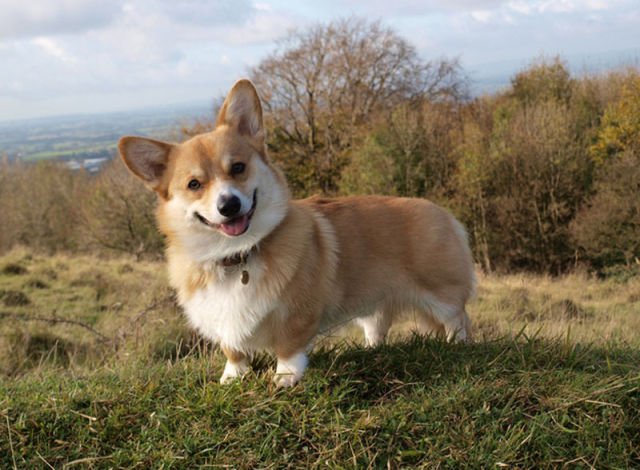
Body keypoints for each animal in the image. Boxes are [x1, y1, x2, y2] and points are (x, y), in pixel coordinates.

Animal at [119, 79, 476, 386]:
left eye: (238, 167)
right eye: (194, 184)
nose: (229, 205)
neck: (235, 256)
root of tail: (443, 213)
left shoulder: (297, 313)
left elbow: (289, 346)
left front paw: (285, 377)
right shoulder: (223, 321)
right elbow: (233, 350)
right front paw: (232, 377)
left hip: (442, 293)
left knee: (458, 320)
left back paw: (457, 345)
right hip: (373, 304)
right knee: (378, 327)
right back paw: (372, 350)